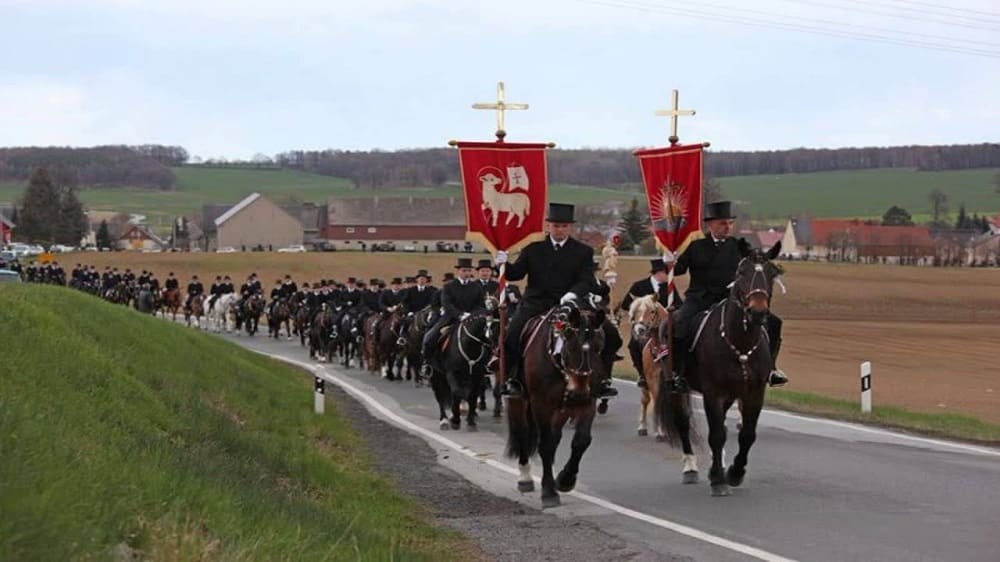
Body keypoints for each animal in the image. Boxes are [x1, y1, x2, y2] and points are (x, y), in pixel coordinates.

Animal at [504, 304, 604, 506]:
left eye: (599, 347)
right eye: (570, 347)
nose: (579, 393)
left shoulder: (588, 403)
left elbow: (581, 441)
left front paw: (565, 480)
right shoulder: (541, 405)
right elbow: (545, 445)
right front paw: (549, 491)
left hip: (561, 411)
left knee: (554, 436)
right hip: (520, 402)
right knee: (523, 432)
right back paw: (525, 478)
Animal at [660, 241, 784, 494]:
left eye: (772, 273)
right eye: (742, 272)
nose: (758, 312)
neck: (740, 342)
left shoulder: (754, 392)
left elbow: (747, 435)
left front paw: (735, 472)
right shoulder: (713, 393)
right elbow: (716, 435)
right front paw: (718, 478)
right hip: (677, 387)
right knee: (683, 422)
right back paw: (690, 468)